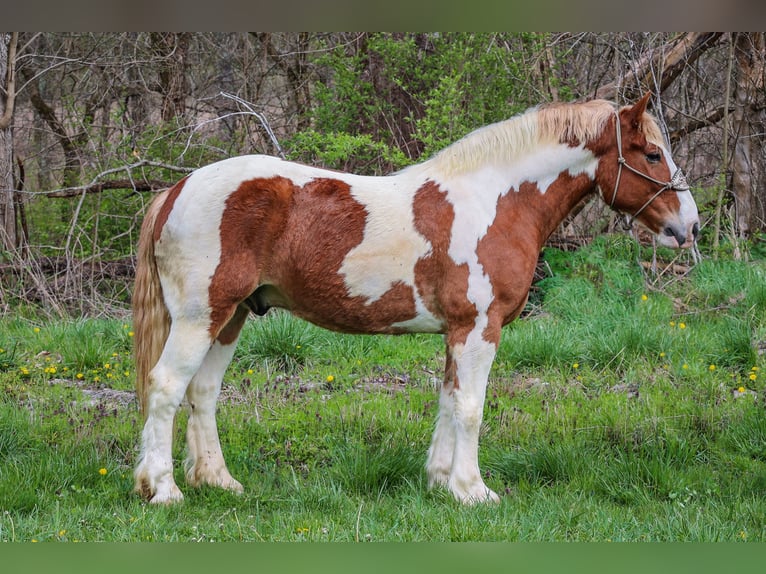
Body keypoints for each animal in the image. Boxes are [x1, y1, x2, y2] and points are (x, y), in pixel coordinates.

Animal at [134, 92, 704, 506]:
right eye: (652, 154)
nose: (690, 227)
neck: (496, 202)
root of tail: (176, 190)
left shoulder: (457, 331)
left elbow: (449, 400)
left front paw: (440, 481)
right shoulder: (479, 327)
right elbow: (472, 407)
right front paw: (474, 491)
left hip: (231, 317)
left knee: (203, 392)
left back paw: (217, 481)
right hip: (200, 317)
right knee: (166, 387)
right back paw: (163, 490)